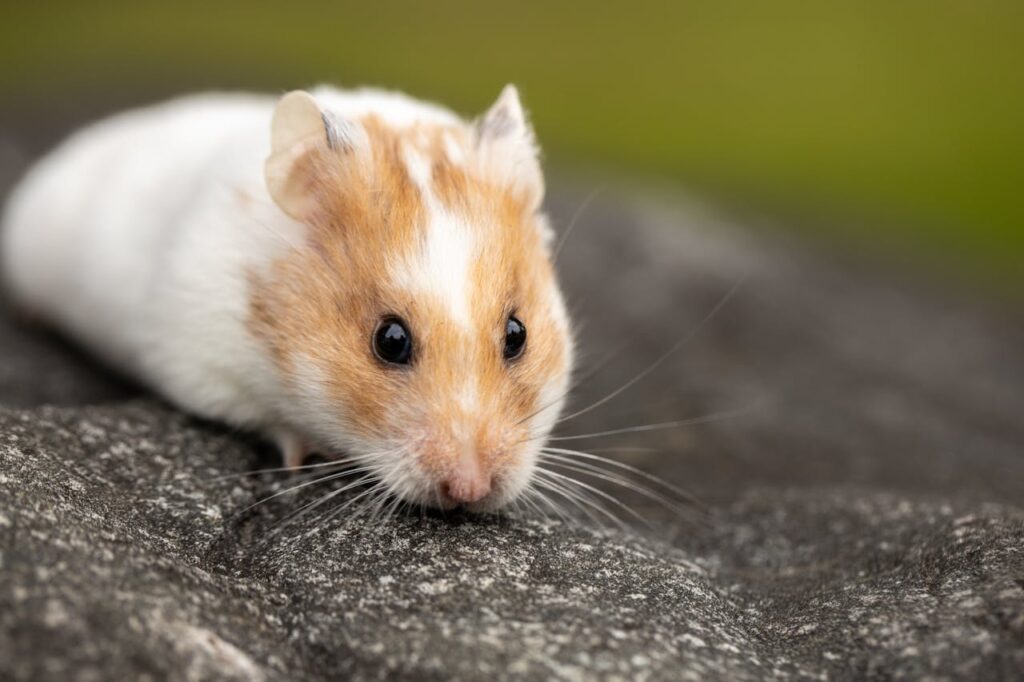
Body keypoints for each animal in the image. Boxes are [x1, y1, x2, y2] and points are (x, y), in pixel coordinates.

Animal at [0, 85, 574, 511]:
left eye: (517, 334)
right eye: (389, 341)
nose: (470, 491)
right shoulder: (199, 360)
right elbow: (274, 422)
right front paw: (310, 452)